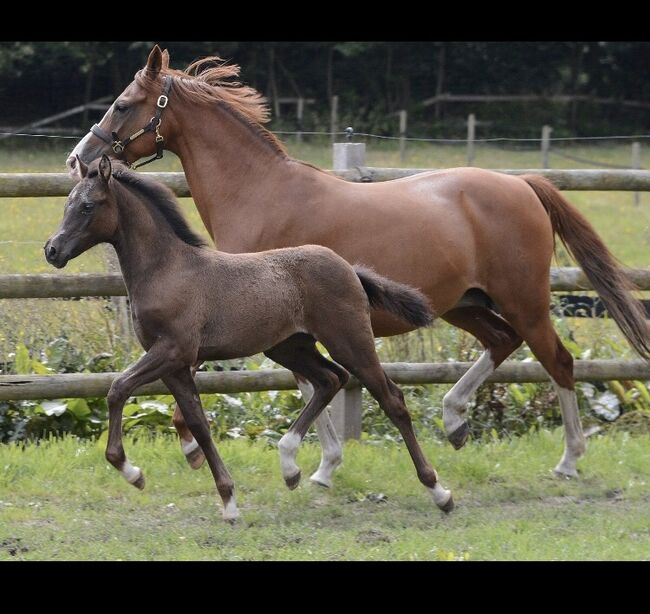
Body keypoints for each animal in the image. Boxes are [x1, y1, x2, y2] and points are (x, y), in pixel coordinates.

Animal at [44, 156, 450, 524]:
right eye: (66, 203)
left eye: (87, 205)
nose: (52, 249)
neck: (167, 270)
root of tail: (349, 267)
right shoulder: (176, 364)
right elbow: (197, 423)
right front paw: (228, 502)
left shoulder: (172, 351)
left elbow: (117, 388)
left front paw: (133, 472)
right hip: (290, 346)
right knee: (329, 379)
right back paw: (290, 466)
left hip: (350, 341)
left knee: (391, 399)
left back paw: (439, 491)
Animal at [67, 45, 648, 486]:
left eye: (123, 105)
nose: (78, 158)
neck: (261, 193)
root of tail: (522, 184)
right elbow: (315, 383)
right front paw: (321, 465)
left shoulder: (277, 319)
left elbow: (310, 384)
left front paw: (308, 464)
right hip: (462, 304)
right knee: (501, 343)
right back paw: (455, 422)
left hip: (524, 301)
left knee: (559, 362)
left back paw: (568, 461)